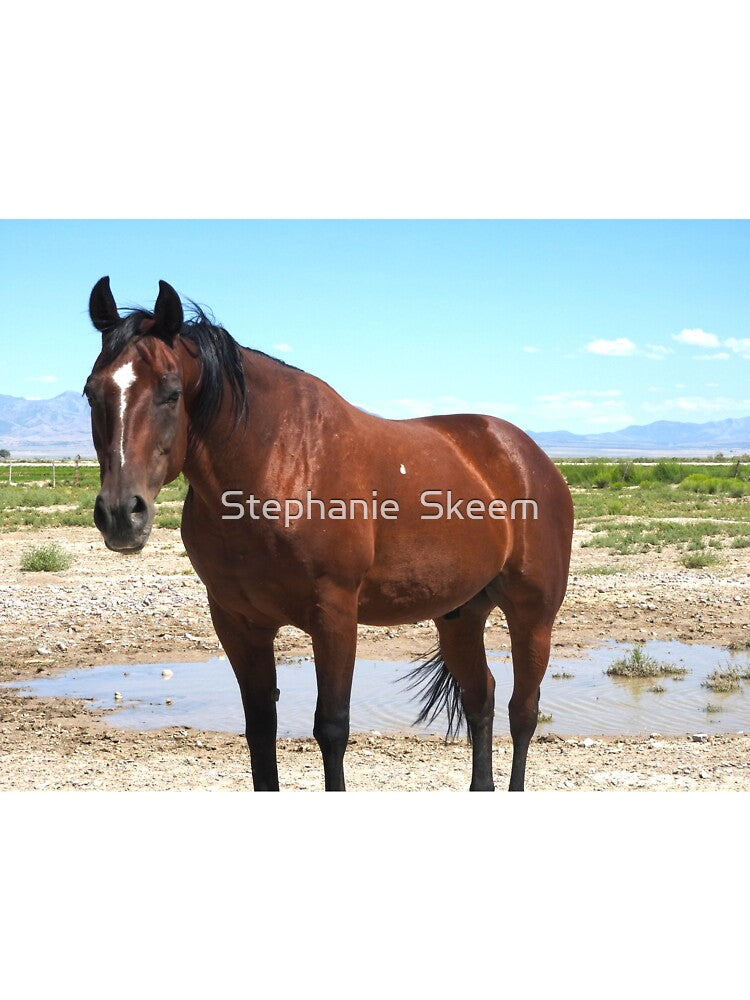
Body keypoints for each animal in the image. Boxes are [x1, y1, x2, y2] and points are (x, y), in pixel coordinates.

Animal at [85, 276, 574, 791]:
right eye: (91, 393)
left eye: (172, 392)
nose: (121, 513)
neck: (277, 462)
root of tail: (530, 456)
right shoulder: (239, 624)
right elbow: (260, 729)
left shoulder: (335, 616)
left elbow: (332, 728)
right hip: (460, 615)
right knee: (481, 699)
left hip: (533, 616)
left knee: (523, 713)